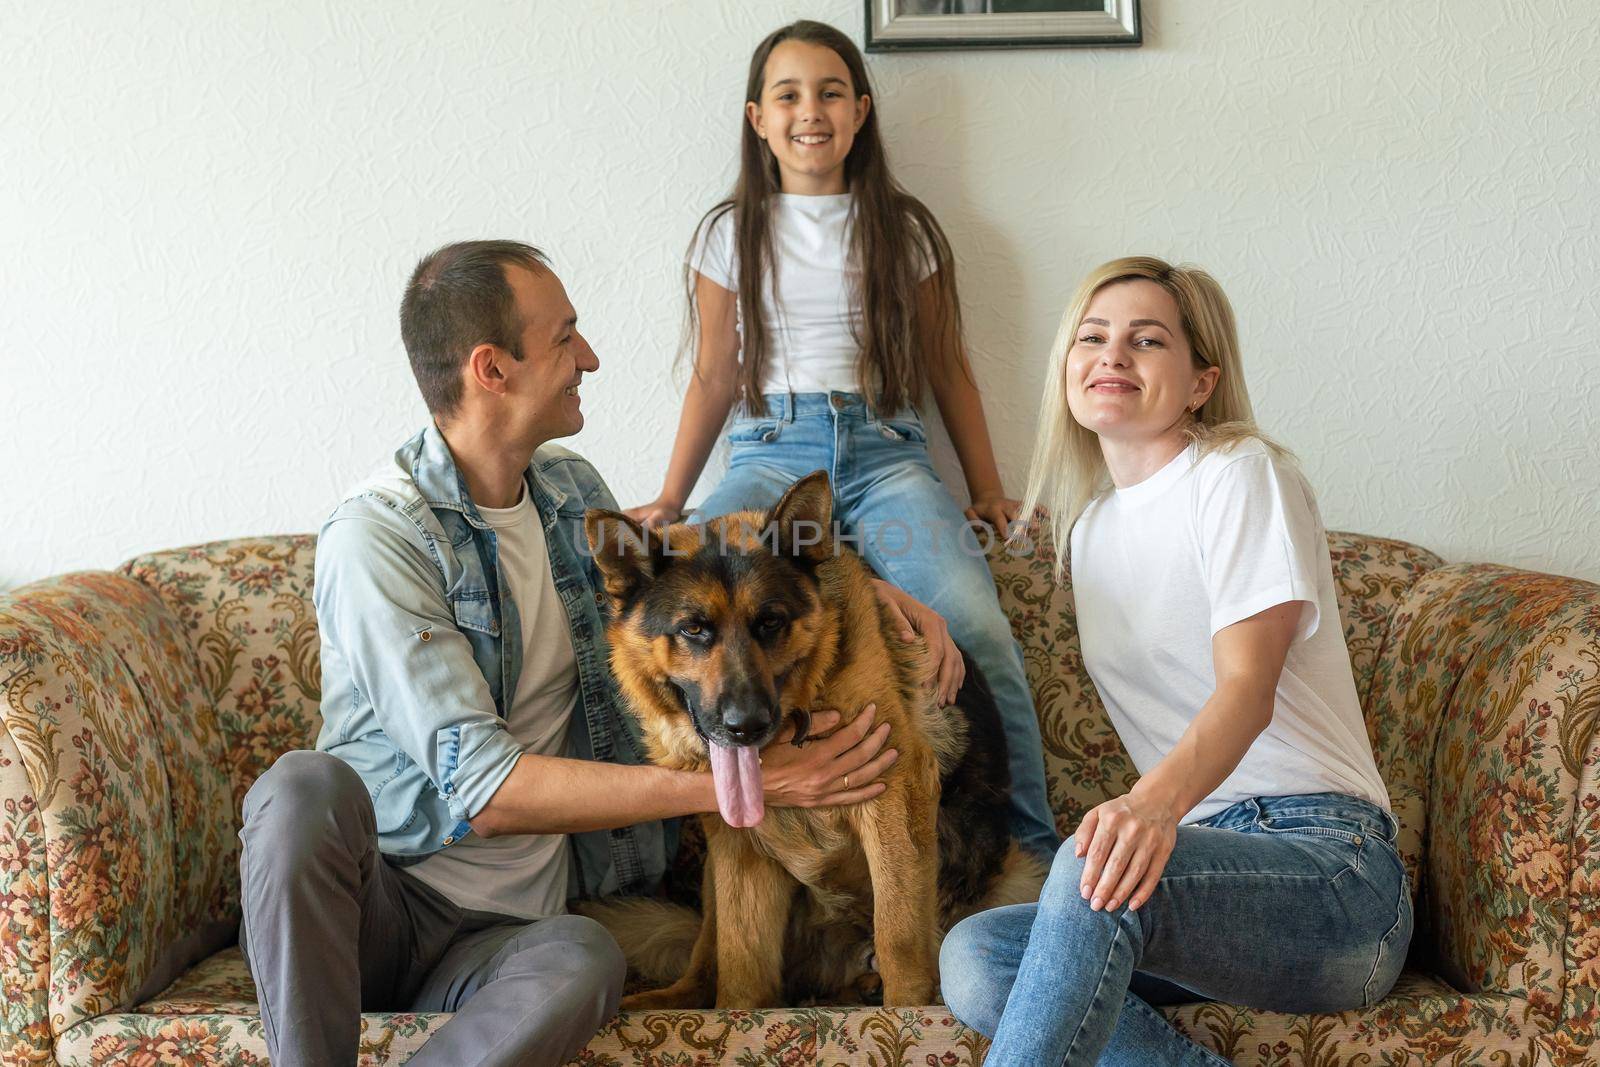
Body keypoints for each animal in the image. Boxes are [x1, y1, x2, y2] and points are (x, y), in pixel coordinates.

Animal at [582, 470, 1043, 1004]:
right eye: (694, 629)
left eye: (770, 622)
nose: (745, 726)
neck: (809, 695)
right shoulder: (740, 850)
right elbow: (741, 966)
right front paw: (737, 1016)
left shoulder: (894, 797)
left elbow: (899, 930)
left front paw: (908, 1009)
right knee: (707, 955)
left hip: (1017, 877)